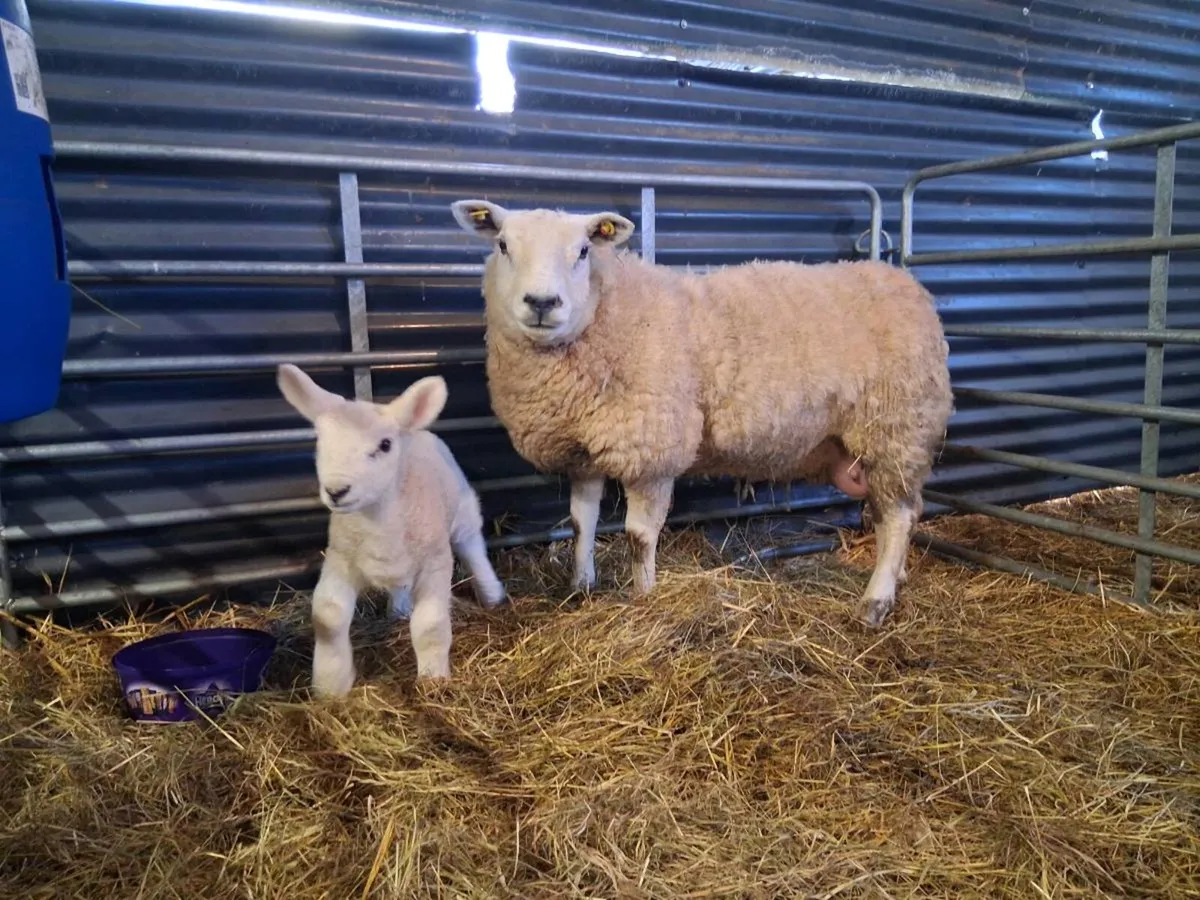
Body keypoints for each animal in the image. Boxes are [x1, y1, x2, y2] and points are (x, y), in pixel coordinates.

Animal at [276, 363, 506, 697]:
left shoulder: (435, 563)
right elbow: (328, 617)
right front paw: (330, 685)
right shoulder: (340, 558)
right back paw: (398, 610)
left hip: (462, 511)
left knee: (472, 546)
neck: (379, 520)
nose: (336, 491)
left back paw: (492, 595)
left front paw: (433, 681)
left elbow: (430, 624)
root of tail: (416, 429)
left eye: (385, 445)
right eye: (320, 441)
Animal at [449, 199, 953, 627]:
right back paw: (898, 578)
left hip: (896, 428)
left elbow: (638, 537)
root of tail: (908, 285)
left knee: (898, 517)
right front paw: (582, 585)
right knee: (900, 512)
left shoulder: (653, 448)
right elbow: (580, 522)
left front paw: (645, 598)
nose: (541, 303)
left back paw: (876, 601)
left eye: (584, 251)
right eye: (502, 245)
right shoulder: (583, 452)